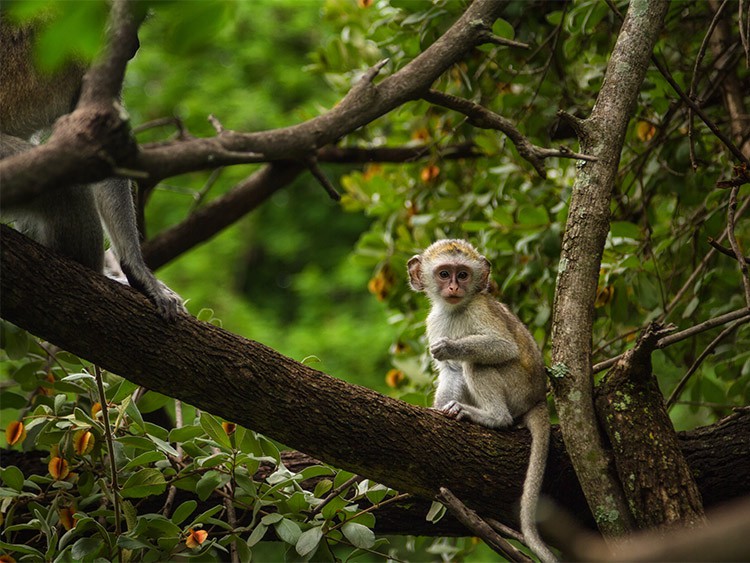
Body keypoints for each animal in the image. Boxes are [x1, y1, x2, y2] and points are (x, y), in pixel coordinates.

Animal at [408, 240, 556, 563]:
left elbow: (503, 347)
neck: (455, 309)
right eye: (444, 273)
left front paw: (452, 346)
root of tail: (538, 396)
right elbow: (450, 372)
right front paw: (438, 410)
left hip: (517, 388)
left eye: (463, 274)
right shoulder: (435, 320)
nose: (454, 287)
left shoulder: (479, 308)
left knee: (477, 363)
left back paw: (493, 417)